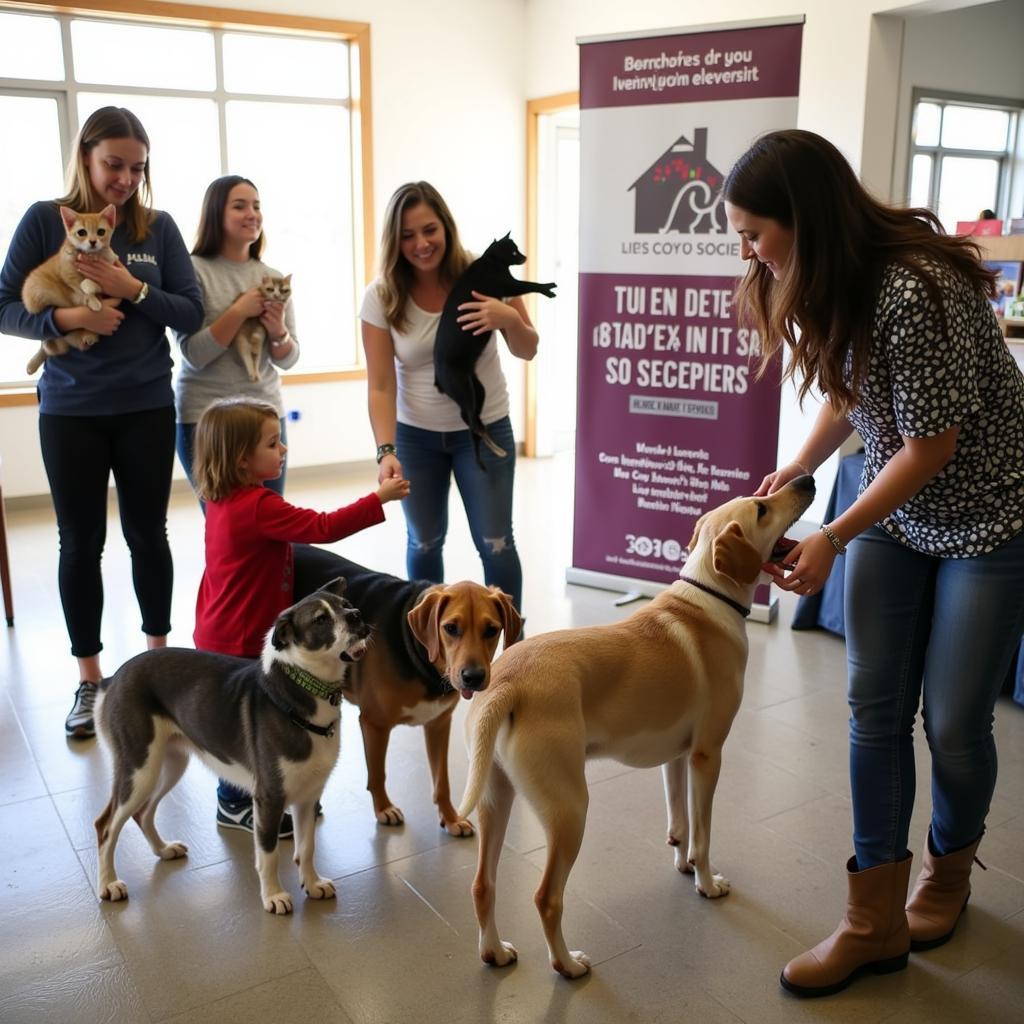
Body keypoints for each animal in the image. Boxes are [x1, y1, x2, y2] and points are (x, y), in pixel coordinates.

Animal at [23, 201, 118, 374]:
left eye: (101, 232)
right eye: (82, 232)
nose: (93, 242)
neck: (91, 256)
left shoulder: (109, 266)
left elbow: (96, 281)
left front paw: (93, 289)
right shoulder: (68, 273)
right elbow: (80, 287)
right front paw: (92, 301)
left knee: (48, 349)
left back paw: (89, 335)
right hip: (37, 291)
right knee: (46, 346)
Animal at [94, 581, 370, 917]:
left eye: (346, 604)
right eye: (320, 619)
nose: (357, 615)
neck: (303, 687)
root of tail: (113, 678)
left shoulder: (308, 795)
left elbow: (307, 847)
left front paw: (313, 883)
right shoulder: (269, 798)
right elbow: (269, 855)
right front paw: (273, 895)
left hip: (169, 764)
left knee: (143, 812)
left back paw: (163, 849)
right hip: (139, 769)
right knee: (106, 826)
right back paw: (108, 884)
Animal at [434, 233, 561, 468]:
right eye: (513, 251)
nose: (524, 257)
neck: (491, 261)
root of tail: (438, 378)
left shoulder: (509, 284)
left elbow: (527, 284)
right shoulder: (509, 285)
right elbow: (529, 285)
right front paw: (548, 288)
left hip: (477, 390)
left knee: (471, 420)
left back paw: (493, 449)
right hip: (464, 388)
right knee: (472, 423)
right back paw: (489, 453)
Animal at [456, 477, 815, 974]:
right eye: (762, 509)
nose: (807, 480)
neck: (708, 598)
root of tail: (507, 685)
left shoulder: (678, 757)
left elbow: (679, 821)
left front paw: (683, 863)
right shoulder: (707, 756)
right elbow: (703, 834)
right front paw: (706, 883)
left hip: (497, 799)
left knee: (482, 885)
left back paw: (494, 951)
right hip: (570, 810)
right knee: (546, 898)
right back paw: (567, 964)